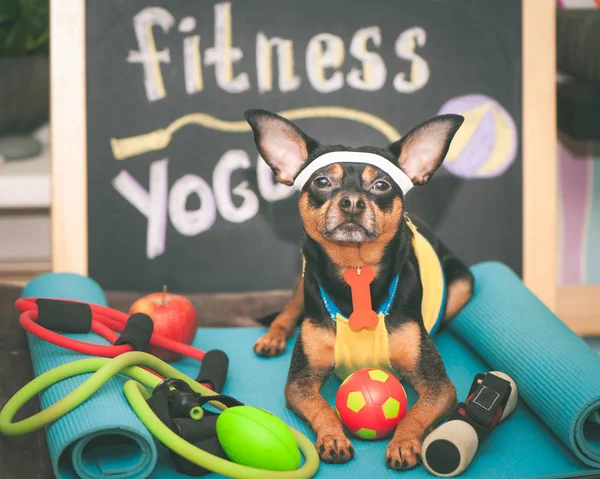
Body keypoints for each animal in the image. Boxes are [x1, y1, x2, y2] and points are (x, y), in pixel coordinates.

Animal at [244, 109, 474, 472]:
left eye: (381, 185)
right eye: (322, 182)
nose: (352, 201)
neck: (356, 273)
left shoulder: (439, 386)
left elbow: (416, 413)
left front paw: (403, 443)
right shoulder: (299, 383)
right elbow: (323, 408)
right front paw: (334, 437)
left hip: (464, 283)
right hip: (302, 281)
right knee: (288, 310)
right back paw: (273, 337)